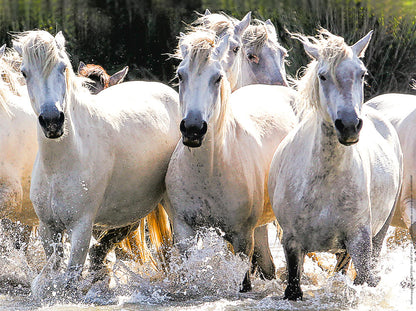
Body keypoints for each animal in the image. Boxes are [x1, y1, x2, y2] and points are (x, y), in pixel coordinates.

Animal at [13, 29, 180, 298]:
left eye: (62, 68)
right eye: (24, 72)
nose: (52, 121)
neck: (64, 161)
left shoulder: (81, 227)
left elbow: (71, 279)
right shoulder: (48, 227)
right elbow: (53, 272)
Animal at [164, 29, 298, 292]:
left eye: (217, 78)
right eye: (180, 75)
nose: (193, 129)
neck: (208, 171)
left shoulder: (242, 237)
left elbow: (243, 281)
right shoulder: (184, 231)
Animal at [270, 30, 404, 302]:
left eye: (362, 74)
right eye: (322, 76)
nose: (350, 125)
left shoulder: (360, 242)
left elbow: (366, 280)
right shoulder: (292, 244)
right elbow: (293, 287)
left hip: (380, 232)